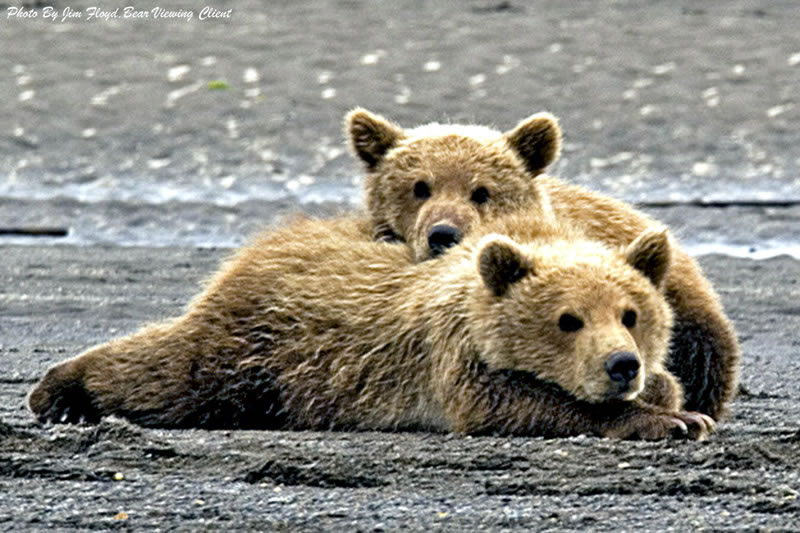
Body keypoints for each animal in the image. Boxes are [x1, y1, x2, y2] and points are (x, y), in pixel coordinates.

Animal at [29, 213, 712, 440]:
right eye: (567, 320)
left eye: (631, 314)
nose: (620, 364)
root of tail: (260, 245)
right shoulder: (452, 356)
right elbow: (514, 403)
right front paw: (668, 422)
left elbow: (669, 381)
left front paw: (677, 406)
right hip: (255, 350)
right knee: (173, 374)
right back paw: (58, 389)